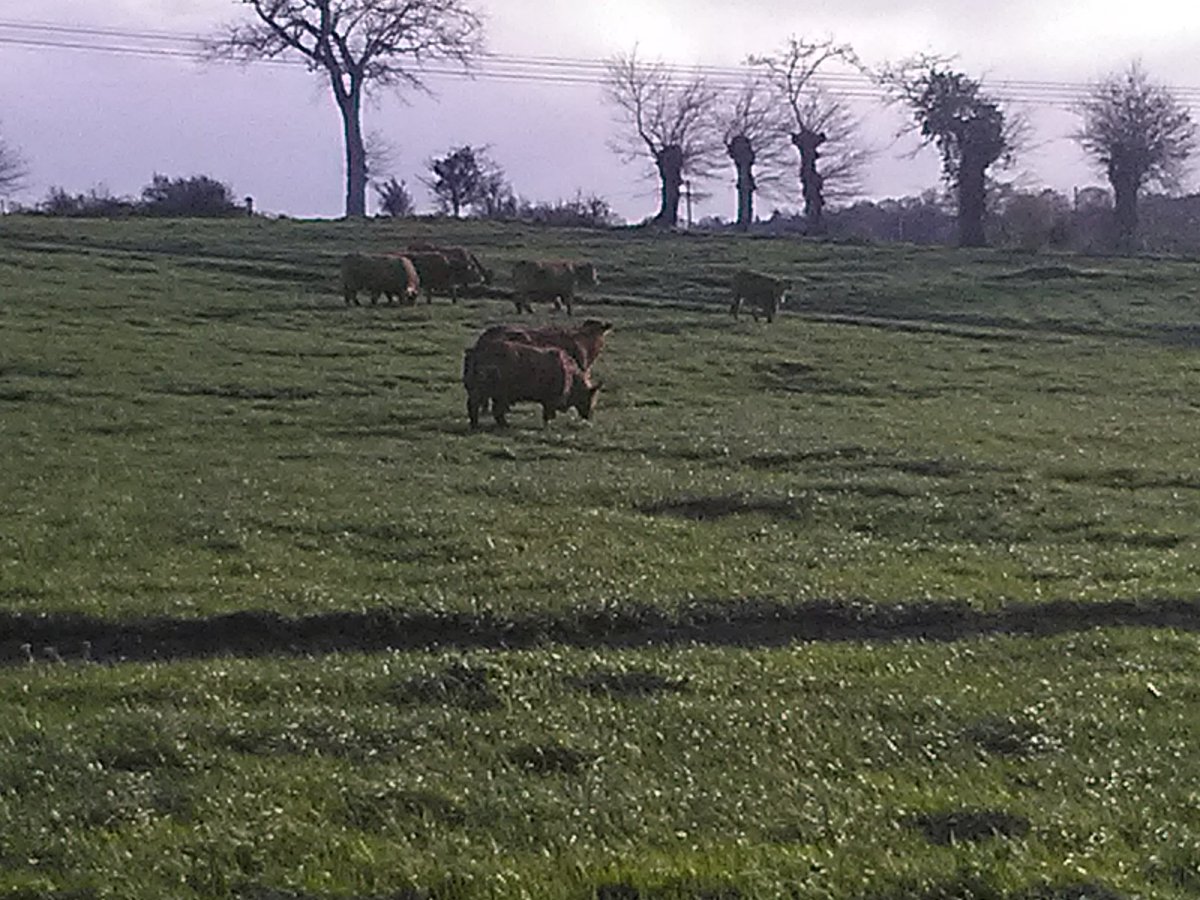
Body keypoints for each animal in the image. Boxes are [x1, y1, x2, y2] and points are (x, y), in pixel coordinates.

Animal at [462, 339, 601, 429]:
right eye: (590, 397)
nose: (589, 417)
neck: (572, 377)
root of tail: (476, 352)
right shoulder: (551, 400)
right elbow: (548, 415)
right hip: (493, 392)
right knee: (479, 406)